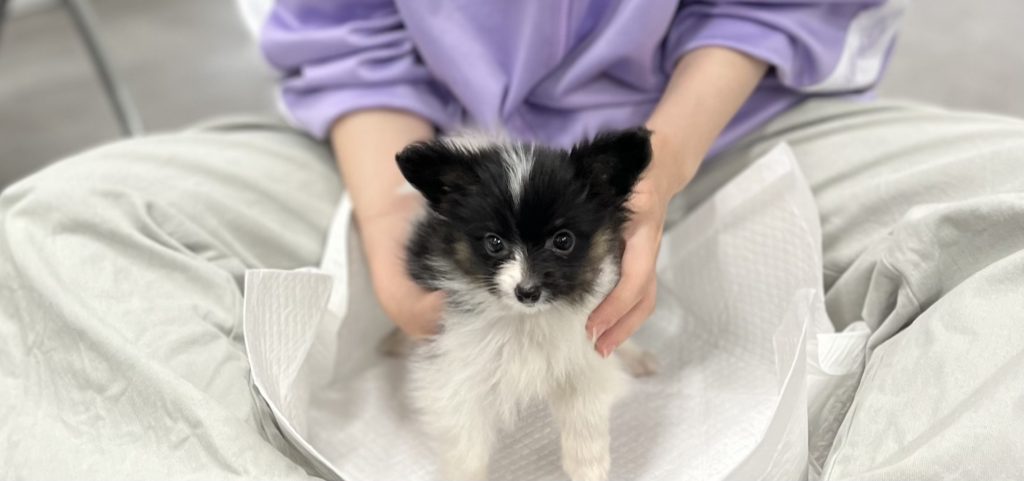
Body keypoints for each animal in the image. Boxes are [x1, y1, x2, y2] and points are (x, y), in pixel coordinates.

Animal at [384, 127, 658, 481]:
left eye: (563, 240)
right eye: (494, 243)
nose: (526, 291)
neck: (526, 318)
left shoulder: (586, 348)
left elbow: (585, 416)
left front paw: (589, 468)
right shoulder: (456, 372)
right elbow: (466, 451)